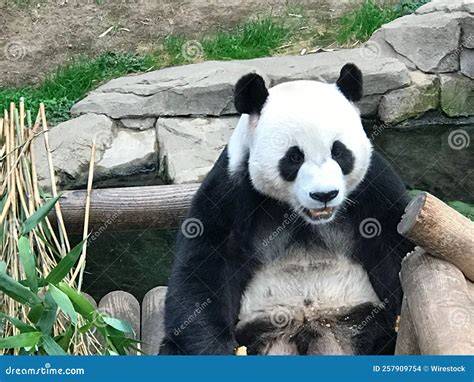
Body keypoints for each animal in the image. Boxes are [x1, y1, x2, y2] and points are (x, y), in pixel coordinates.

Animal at [158, 63, 412, 356]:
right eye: (294, 157)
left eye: (339, 152)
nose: (324, 195)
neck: (301, 216)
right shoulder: (230, 189)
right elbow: (205, 266)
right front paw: (217, 348)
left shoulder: (374, 187)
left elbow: (395, 242)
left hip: (360, 318)